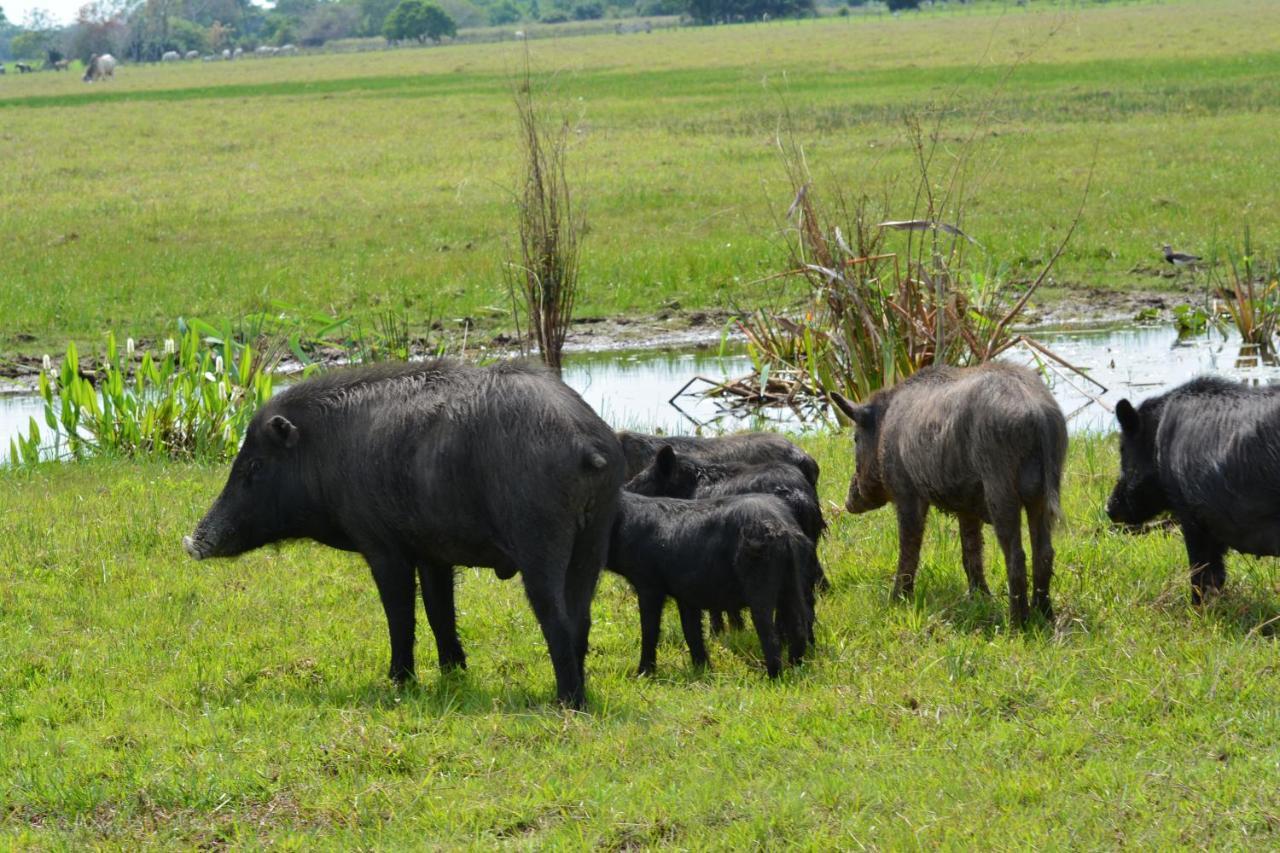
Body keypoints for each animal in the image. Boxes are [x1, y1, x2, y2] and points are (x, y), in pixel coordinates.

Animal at [184, 356, 624, 701]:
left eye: (254, 466)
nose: (193, 542)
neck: (323, 453)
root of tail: (588, 444)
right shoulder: (433, 553)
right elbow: (438, 611)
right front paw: (453, 674)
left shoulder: (382, 546)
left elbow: (399, 613)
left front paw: (398, 682)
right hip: (595, 536)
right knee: (582, 616)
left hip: (540, 538)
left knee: (557, 617)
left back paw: (566, 701)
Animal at [606, 489, 808, 676]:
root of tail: (783, 528)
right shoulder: (685, 594)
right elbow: (691, 631)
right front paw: (702, 670)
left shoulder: (649, 584)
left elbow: (649, 629)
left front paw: (641, 675)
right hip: (792, 582)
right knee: (798, 627)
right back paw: (795, 668)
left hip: (760, 583)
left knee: (770, 633)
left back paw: (771, 677)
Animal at [829, 361, 1070, 625]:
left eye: (855, 438)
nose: (848, 501)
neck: (884, 428)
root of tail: (1038, 412)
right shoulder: (967, 506)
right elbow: (970, 551)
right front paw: (979, 598)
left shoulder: (907, 492)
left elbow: (909, 548)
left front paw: (897, 601)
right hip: (1045, 490)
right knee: (1044, 552)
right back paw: (1045, 616)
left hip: (1000, 484)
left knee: (1016, 555)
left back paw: (1017, 624)